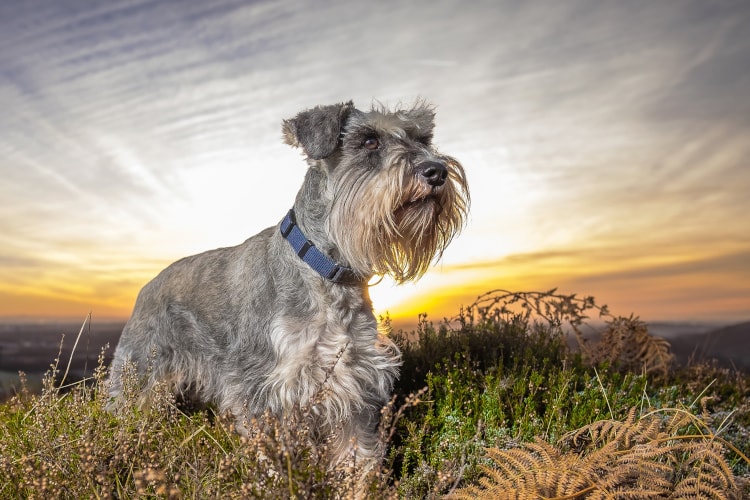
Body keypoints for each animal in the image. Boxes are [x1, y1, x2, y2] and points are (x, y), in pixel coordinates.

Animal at [107, 100, 470, 468]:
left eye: (422, 138)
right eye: (369, 141)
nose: (436, 171)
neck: (327, 274)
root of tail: (146, 287)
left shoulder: (354, 384)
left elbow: (358, 454)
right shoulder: (267, 391)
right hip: (137, 375)